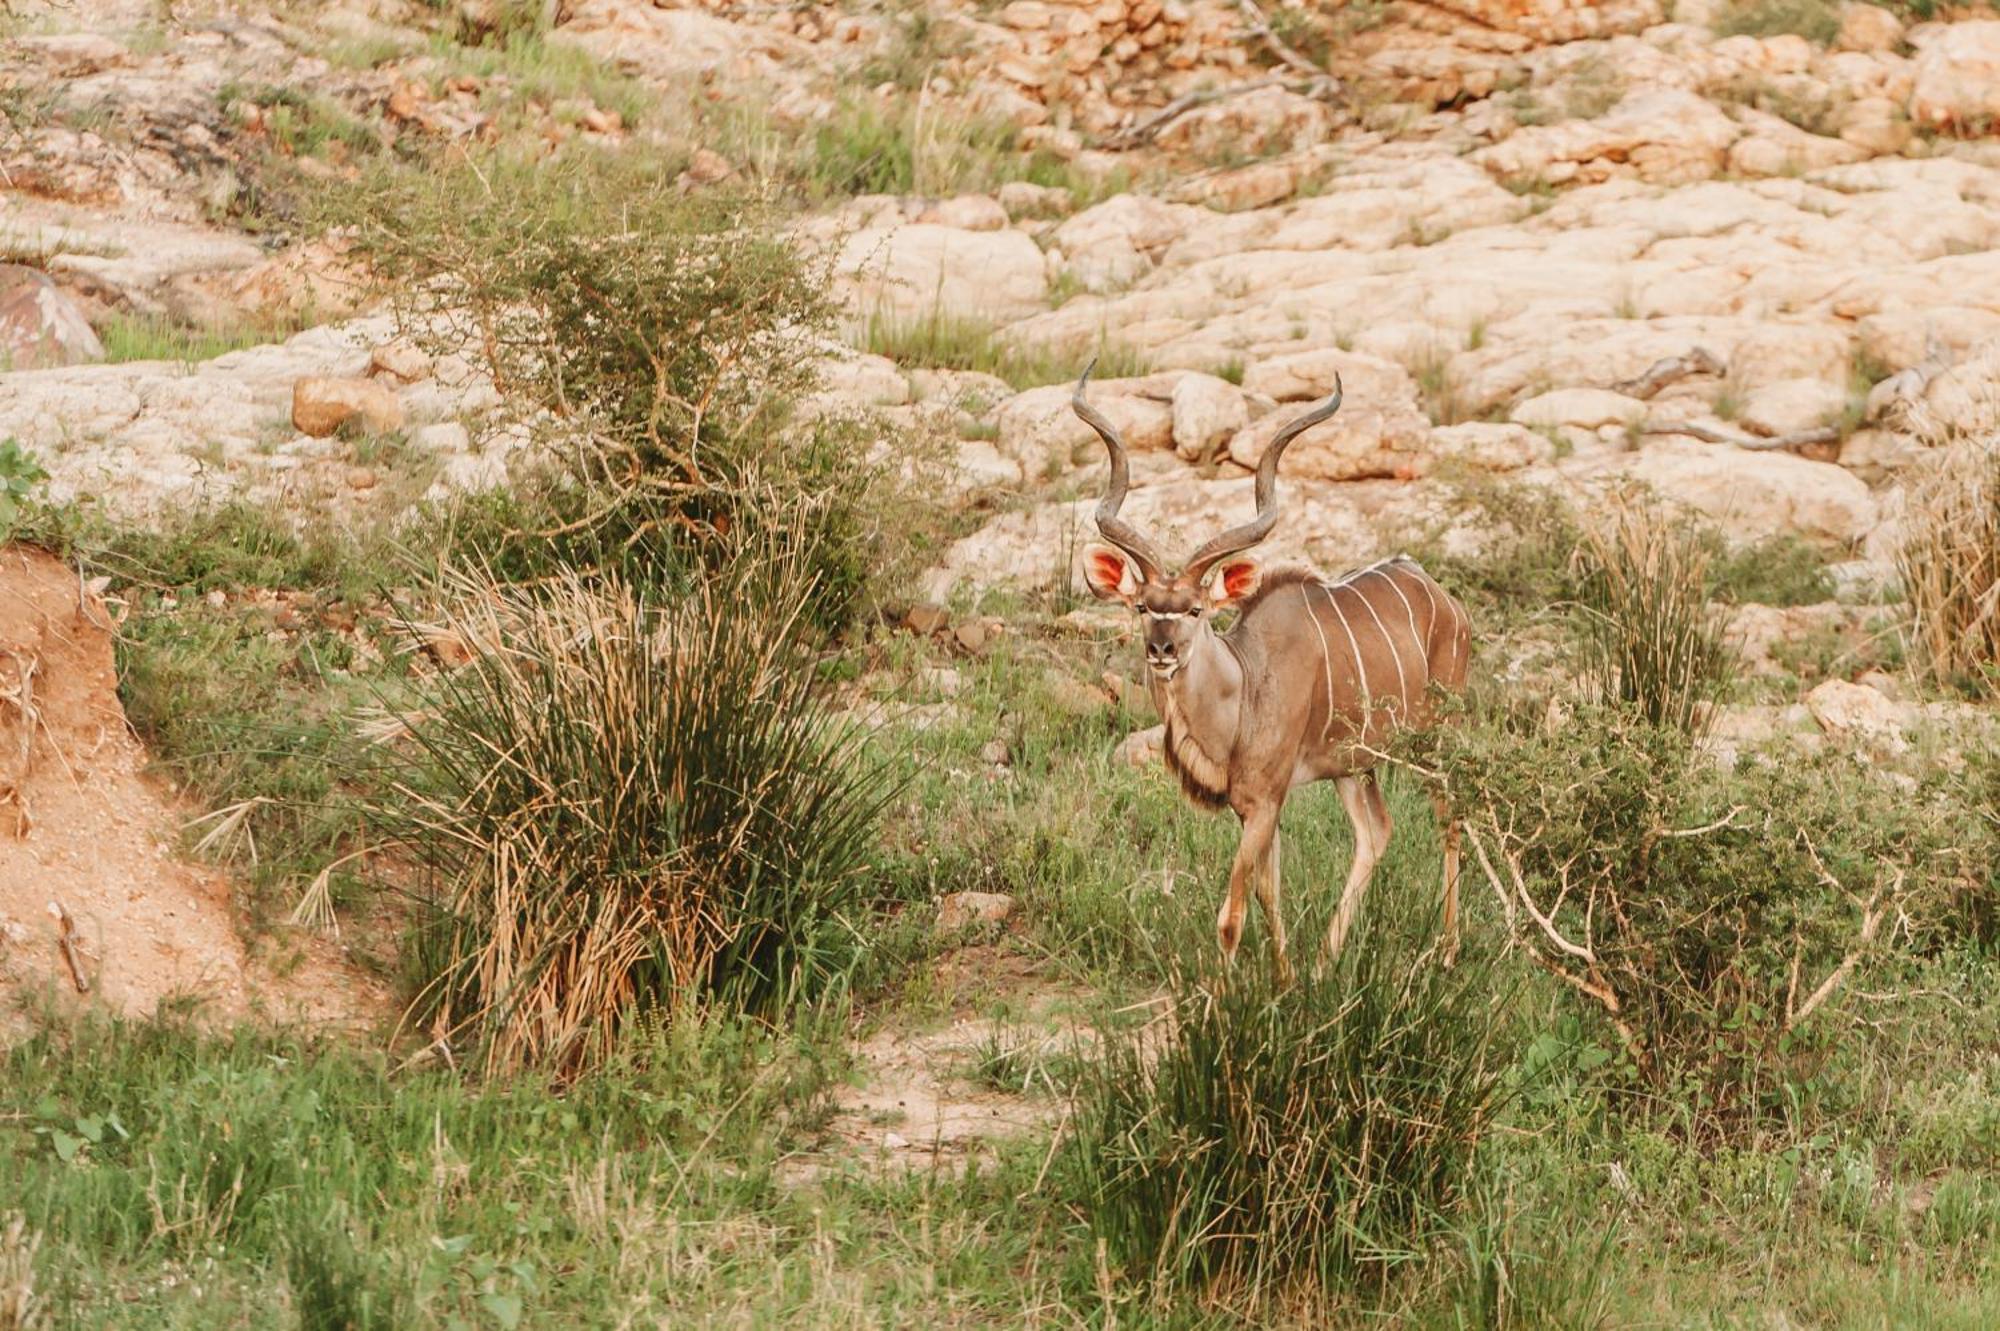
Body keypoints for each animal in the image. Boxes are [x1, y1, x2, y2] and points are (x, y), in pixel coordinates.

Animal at [1080, 363, 1472, 975]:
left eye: (1195, 610)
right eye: (1143, 607)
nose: (1162, 651)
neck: (1242, 692)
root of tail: (1444, 598)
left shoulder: (1265, 800)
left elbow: (1232, 914)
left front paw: (1227, 993)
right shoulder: (1256, 808)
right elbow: (1269, 892)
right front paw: (1287, 978)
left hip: (1436, 739)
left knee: (1448, 816)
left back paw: (1447, 951)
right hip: (1354, 767)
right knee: (1376, 832)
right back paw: (1325, 963)